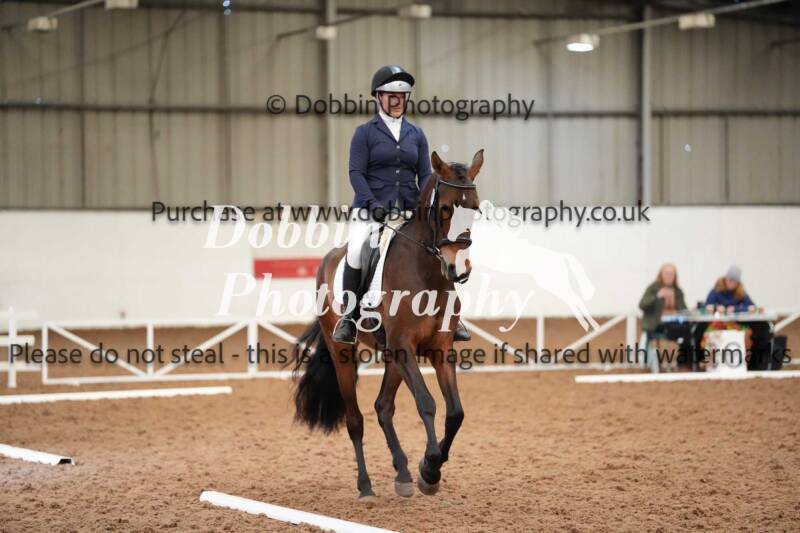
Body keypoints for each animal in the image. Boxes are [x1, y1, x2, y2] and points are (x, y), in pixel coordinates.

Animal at [292, 149, 484, 503]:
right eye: (445, 207)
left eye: (475, 208)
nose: (459, 270)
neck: (427, 273)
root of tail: (329, 259)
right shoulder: (405, 347)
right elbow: (426, 403)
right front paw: (430, 469)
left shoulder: (440, 349)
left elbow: (455, 412)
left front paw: (427, 470)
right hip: (345, 353)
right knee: (355, 419)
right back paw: (366, 486)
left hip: (392, 355)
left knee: (383, 406)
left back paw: (403, 473)